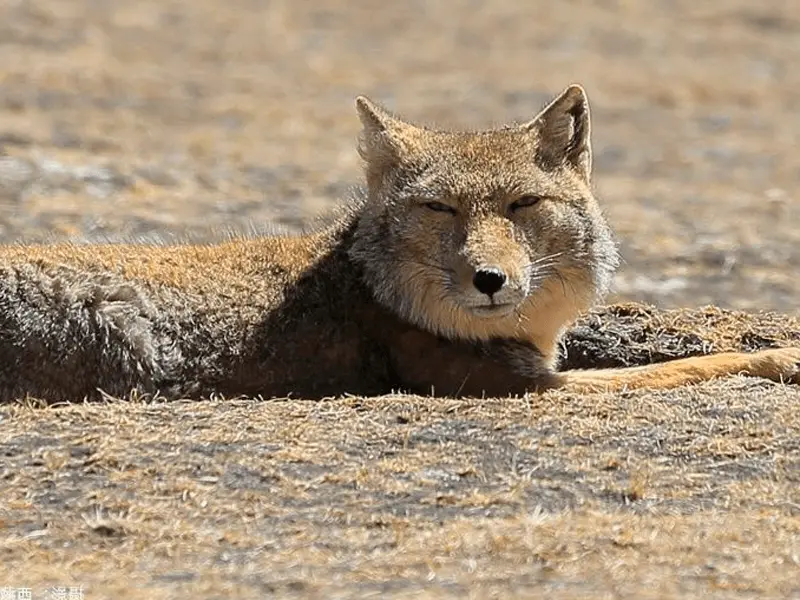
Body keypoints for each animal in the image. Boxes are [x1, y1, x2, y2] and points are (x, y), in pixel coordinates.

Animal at [0, 84, 797, 402]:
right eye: (440, 208)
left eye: (522, 205)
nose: (489, 280)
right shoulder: (517, 385)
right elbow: (691, 367)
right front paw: (780, 357)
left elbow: (659, 351)